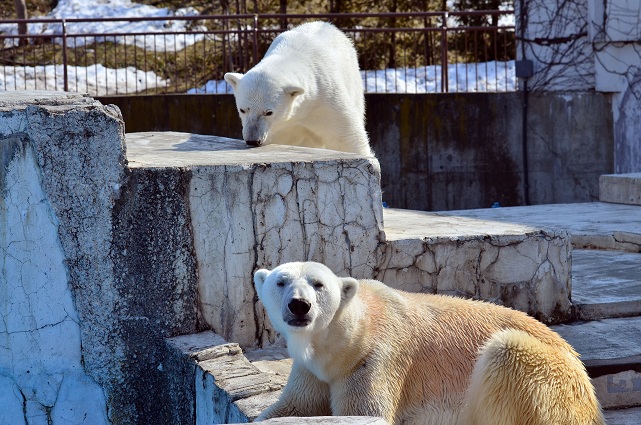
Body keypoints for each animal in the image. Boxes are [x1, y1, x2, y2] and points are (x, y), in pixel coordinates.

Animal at [222, 21, 372, 156]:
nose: (253, 140)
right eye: (242, 110)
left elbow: (346, 136)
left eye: (269, 112)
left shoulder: (326, 100)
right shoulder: (279, 128)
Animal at [252, 262, 604, 424]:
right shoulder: (310, 370)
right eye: (281, 281)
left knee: (506, 353)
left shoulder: (376, 359)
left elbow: (365, 412)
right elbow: (294, 406)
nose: (299, 305)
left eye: (318, 284)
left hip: (552, 383)